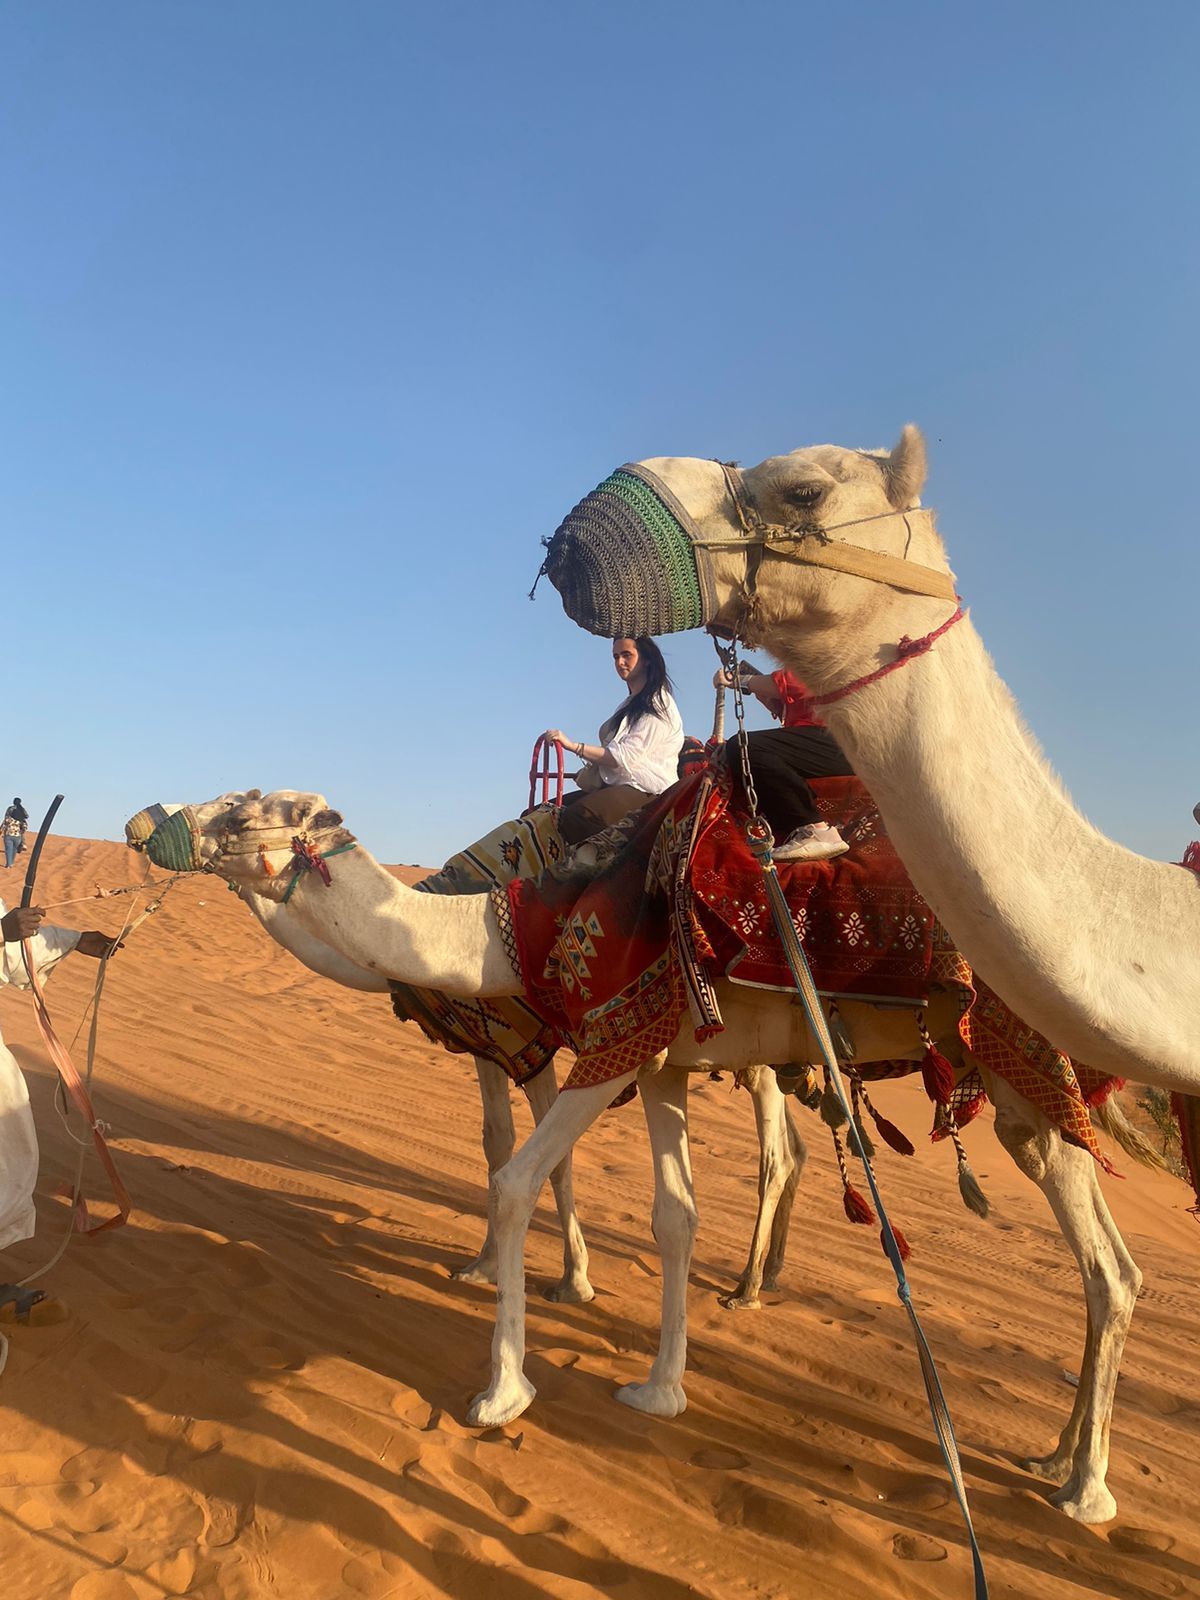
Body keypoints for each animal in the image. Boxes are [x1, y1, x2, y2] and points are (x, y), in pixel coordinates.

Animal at [139, 788, 1150, 1523]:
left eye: (244, 812)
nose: (150, 819)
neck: (513, 925)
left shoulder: (607, 1034)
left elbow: (517, 1176)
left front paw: (503, 1390)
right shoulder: (664, 1059)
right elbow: (674, 1216)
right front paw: (659, 1390)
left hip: (1025, 1068)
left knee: (1108, 1269)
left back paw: (1086, 1492)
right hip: (1022, 1104)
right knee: (1111, 1263)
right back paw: (1053, 1454)